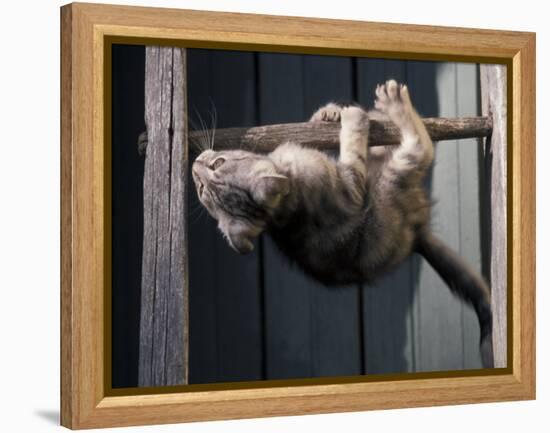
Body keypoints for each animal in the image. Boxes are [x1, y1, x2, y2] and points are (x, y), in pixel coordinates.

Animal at [191, 79, 496, 366]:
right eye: (202, 187)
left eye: (217, 165)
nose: (194, 166)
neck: (281, 210)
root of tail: (417, 235)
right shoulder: (350, 191)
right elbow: (353, 153)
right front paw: (352, 121)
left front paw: (327, 114)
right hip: (393, 178)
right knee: (419, 148)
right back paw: (393, 105)